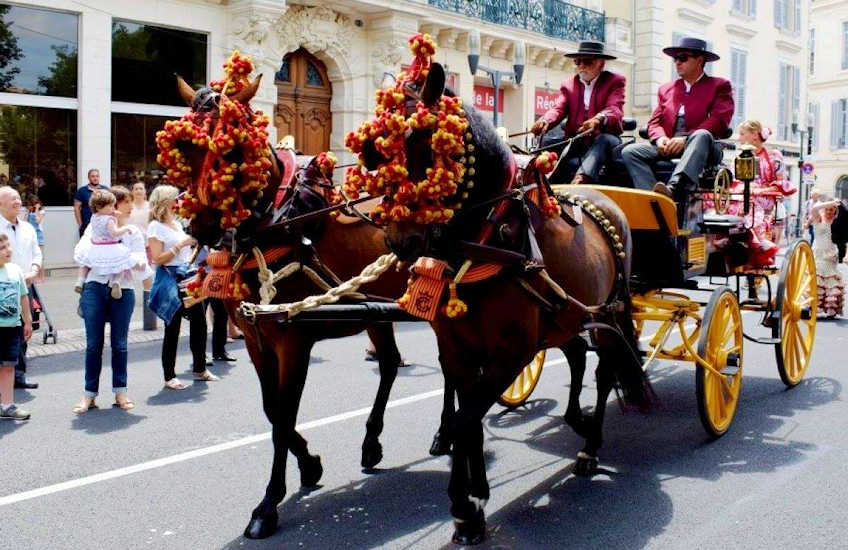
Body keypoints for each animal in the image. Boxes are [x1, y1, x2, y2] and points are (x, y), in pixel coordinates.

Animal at [167, 72, 458, 540]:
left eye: (232, 148)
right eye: (183, 149)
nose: (202, 227)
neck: (276, 223)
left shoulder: (294, 340)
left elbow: (284, 414)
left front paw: (268, 504)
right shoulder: (256, 337)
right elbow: (272, 410)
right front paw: (309, 464)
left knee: (451, 366)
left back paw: (444, 433)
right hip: (375, 306)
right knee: (390, 364)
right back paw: (372, 442)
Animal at [362, 63, 652, 544]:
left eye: (428, 145)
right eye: (377, 152)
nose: (401, 239)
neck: (486, 239)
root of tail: (604, 197)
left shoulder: (512, 352)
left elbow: (465, 422)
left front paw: (464, 507)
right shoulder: (457, 350)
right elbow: (468, 419)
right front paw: (476, 493)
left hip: (608, 313)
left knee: (605, 371)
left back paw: (590, 446)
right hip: (566, 316)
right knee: (577, 356)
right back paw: (576, 420)